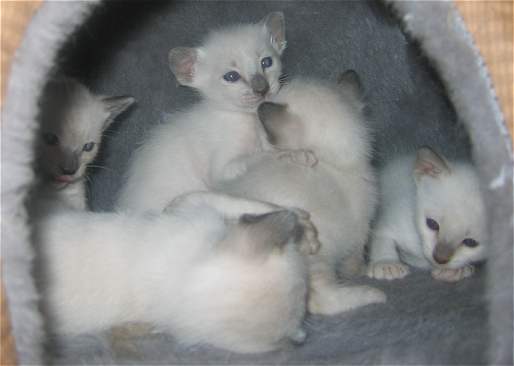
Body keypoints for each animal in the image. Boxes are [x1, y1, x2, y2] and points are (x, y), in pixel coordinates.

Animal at [115, 12, 284, 213]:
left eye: (267, 62)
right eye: (231, 76)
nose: (262, 89)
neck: (248, 117)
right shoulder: (222, 170)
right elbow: (257, 157)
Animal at [215, 73, 384, 314]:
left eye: (261, 137)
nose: (257, 145)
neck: (336, 165)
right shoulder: (359, 229)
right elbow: (354, 261)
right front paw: (361, 272)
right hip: (319, 251)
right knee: (321, 301)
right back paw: (372, 295)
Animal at [364, 147, 484, 282]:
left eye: (471, 242)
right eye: (432, 224)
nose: (440, 258)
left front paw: (455, 271)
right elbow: (381, 236)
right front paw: (386, 263)